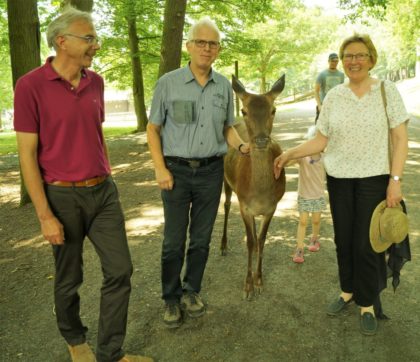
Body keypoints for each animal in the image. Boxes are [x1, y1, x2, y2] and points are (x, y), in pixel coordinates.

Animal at [221, 74, 288, 300]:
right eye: (244, 110)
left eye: (274, 109)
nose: (260, 140)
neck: (259, 194)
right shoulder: (244, 206)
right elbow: (250, 241)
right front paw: (248, 285)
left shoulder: (272, 207)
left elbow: (262, 239)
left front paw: (259, 280)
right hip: (226, 181)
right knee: (225, 206)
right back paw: (223, 246)